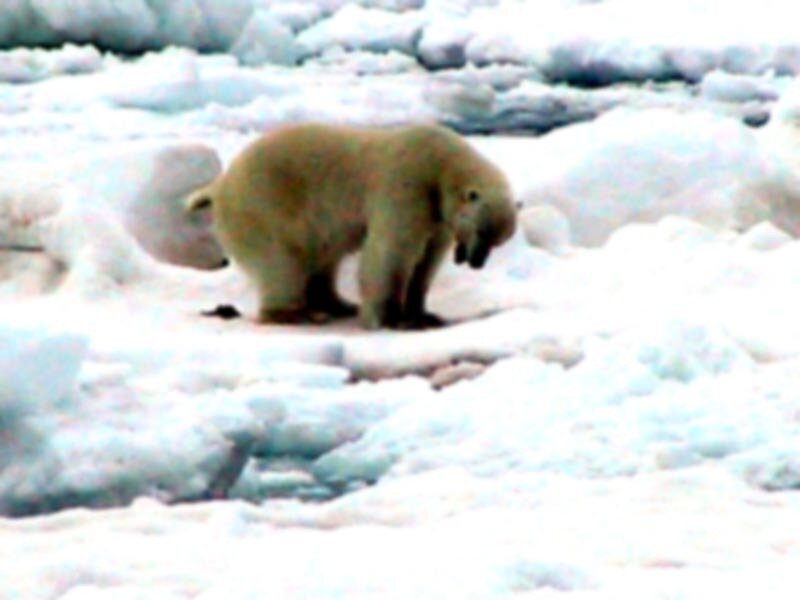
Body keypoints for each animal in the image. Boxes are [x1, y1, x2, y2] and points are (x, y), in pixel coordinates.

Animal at [187, 122, 517, 330]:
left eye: (497, 241)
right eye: (482, 232)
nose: (476, 262)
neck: (441, 166)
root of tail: (220, 185)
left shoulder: (436, 217)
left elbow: (427, 261)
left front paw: (423, 314)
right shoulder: (406, 186)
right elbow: (390, 253)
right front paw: (391, 319)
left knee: (321, 259)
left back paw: (338, 304)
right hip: (263, 208)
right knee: (281, 264)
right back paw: (297, 314)